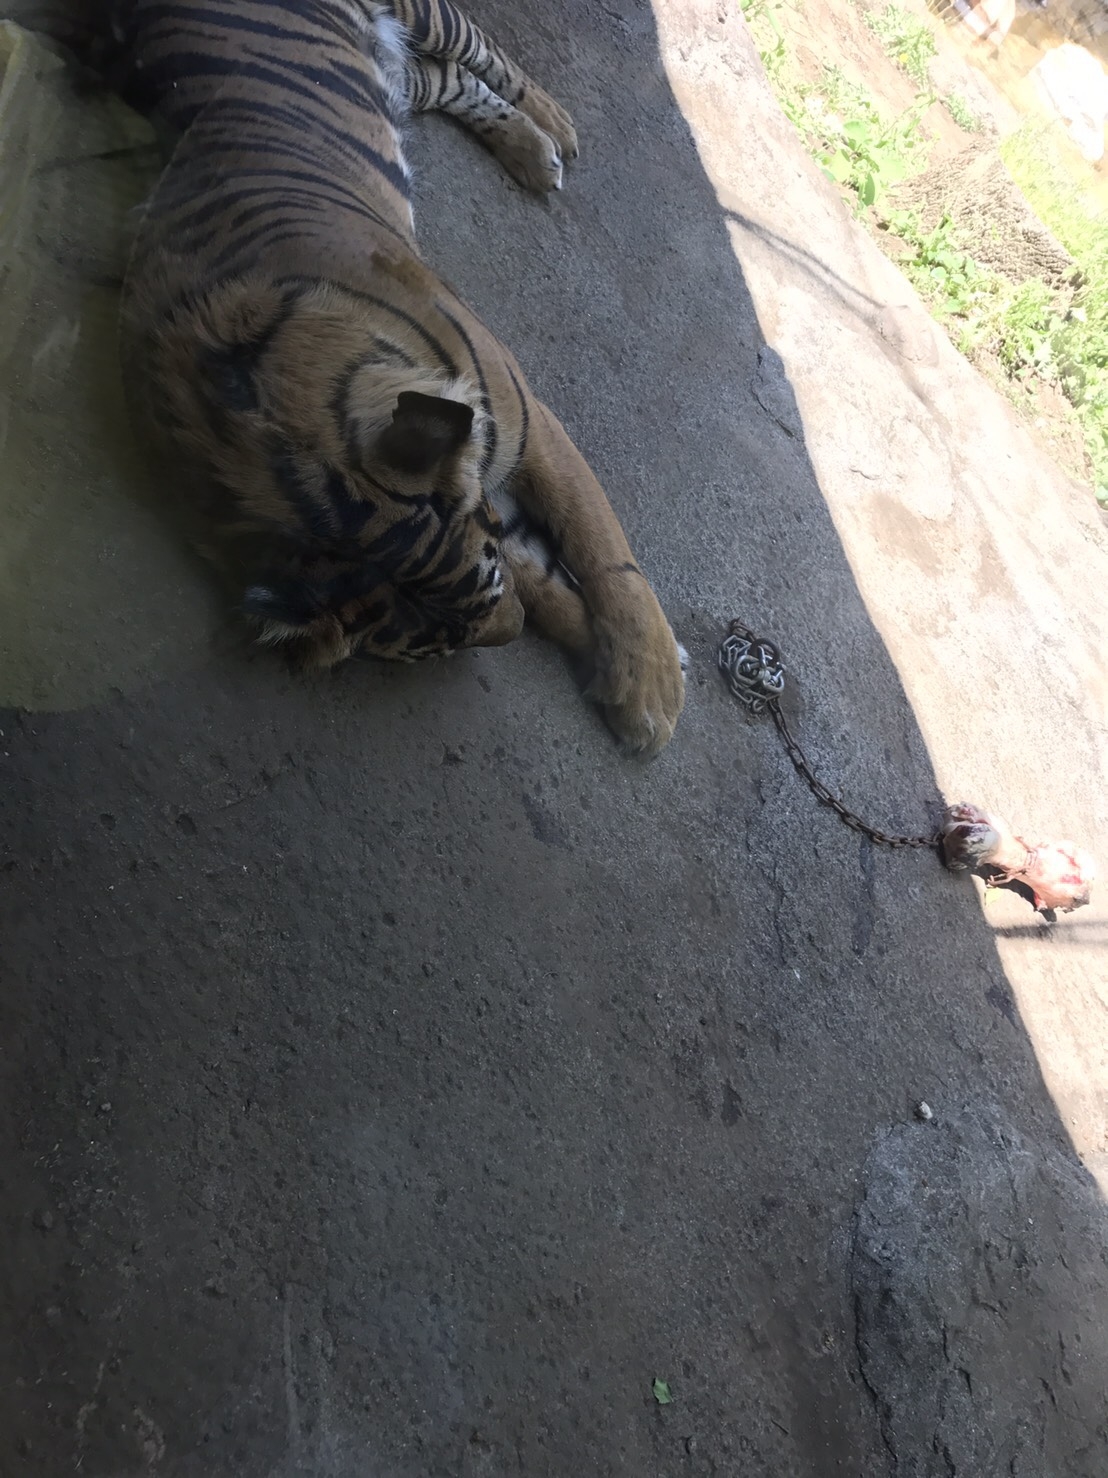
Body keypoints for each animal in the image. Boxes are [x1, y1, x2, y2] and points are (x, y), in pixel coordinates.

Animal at [21, 0, 691, 756]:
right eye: (442, 645)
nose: (509, 633)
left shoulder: (526, 420)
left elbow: (600, 545)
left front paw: (650, 691)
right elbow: (545, 576)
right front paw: (626, 659)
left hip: (420, 17)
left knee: (481, 53)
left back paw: (557, 131)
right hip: (395, 82)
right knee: (452, 82)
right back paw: (533, 148)